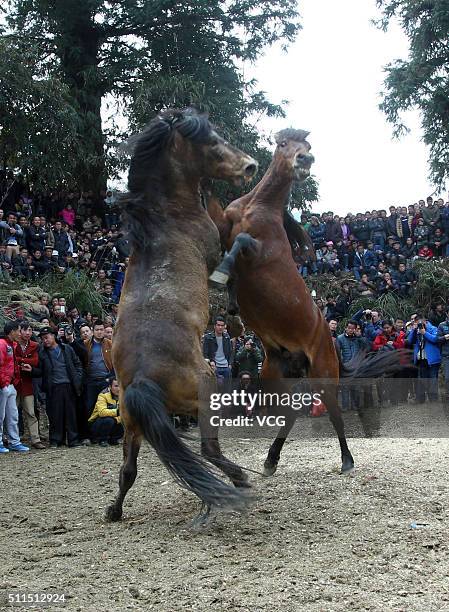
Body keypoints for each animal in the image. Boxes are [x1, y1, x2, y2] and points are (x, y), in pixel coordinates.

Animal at [105, 109, 258, 520]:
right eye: (213, 142)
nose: (250, 166)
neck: (166, 216)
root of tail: (143, 380)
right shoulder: (213, 251)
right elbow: (234, 257)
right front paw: (234, 318)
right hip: (206, 391)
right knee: (208, 449)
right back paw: (240, 478)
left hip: (132, 426)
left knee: (127, 470)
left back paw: (113, 510)